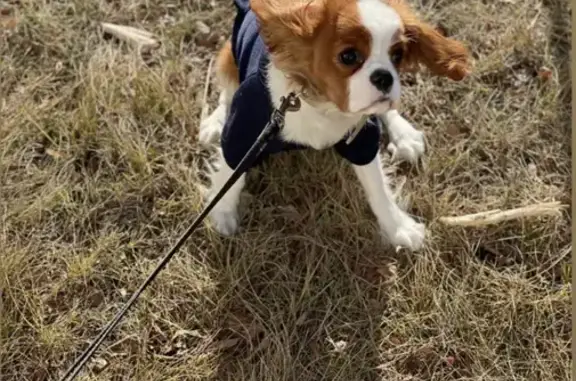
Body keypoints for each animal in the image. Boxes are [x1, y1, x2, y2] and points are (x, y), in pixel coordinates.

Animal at [197, 0, 468, 249]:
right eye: (348, 56)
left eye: (398, 56)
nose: (385, 77)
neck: (321, 102)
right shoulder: (244, 130)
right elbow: (231, 173)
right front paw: (222, 212)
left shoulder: (362, 140)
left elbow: (378, 186)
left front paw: (398, 227)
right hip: (227, 58)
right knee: (226, 93)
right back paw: (214, 122)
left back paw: (404, 135)